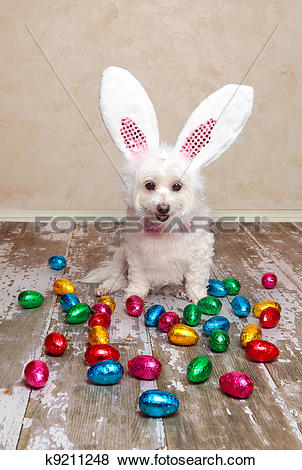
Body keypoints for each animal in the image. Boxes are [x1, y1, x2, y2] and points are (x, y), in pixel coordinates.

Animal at [82, 67, 252, 304]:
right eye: (149, 185)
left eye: (177, 186)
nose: (163, 207)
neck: (163, 230)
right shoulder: (136, 256)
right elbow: (137, 280)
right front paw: (135, 295)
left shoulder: (198, 257)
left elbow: (195, 281)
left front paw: (199, 298)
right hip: (121, 255)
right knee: (118, 275)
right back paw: (109, 286)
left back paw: (178, 290)